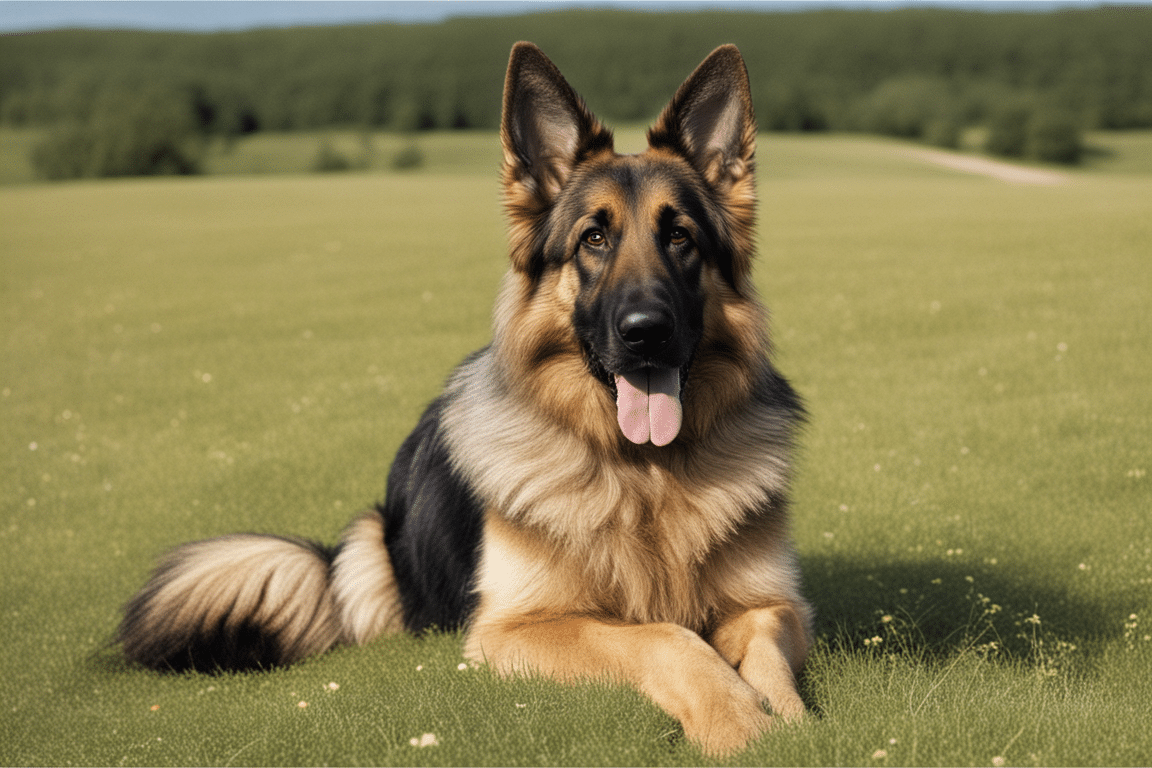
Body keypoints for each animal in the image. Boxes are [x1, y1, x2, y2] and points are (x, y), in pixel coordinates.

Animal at [119, 42, 811, 755]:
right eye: (593, 238)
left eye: (681, 238)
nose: (646, 332)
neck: (643, 472)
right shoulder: (511, 629)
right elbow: (662, 637)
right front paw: (736, 720)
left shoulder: (773, 604)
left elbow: (763, 649)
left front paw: (786, 719)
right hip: (367, 548)